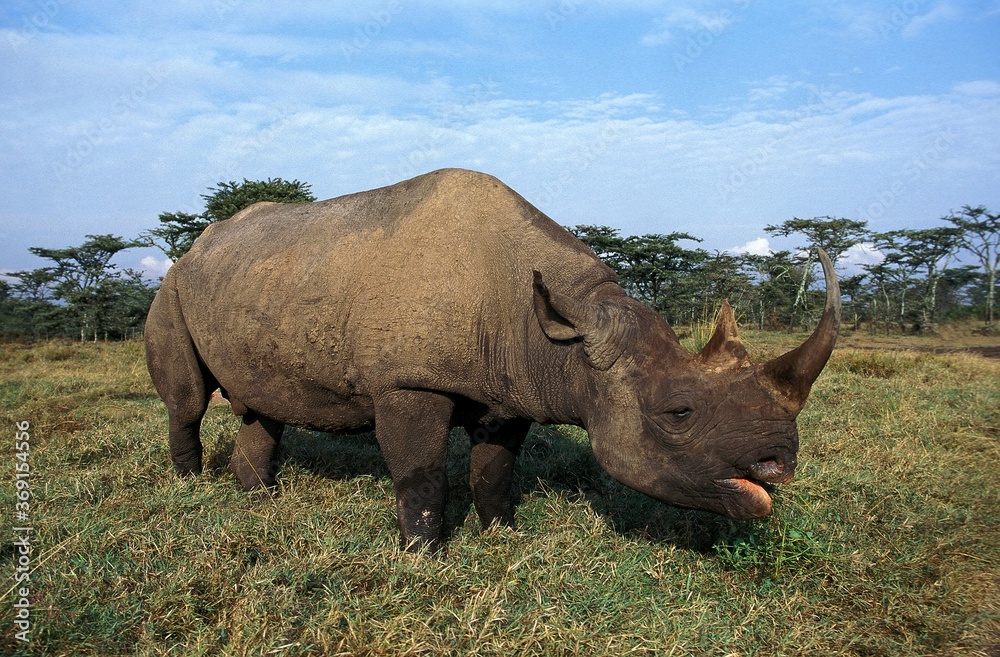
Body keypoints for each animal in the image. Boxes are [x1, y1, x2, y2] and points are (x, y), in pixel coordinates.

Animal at [145, 168, 840, 550]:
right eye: (677, 413)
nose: (779, 465)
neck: (561, 335)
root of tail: (198, 246)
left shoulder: (512, 386)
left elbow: (495, 469)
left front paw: (503, 536)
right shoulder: (408, 382)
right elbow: (421, 472)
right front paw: (423, 556)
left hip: (256, 280)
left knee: (260, 407)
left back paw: (256, 499)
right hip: (173, 287)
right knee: (186, 401)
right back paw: (189, 490)